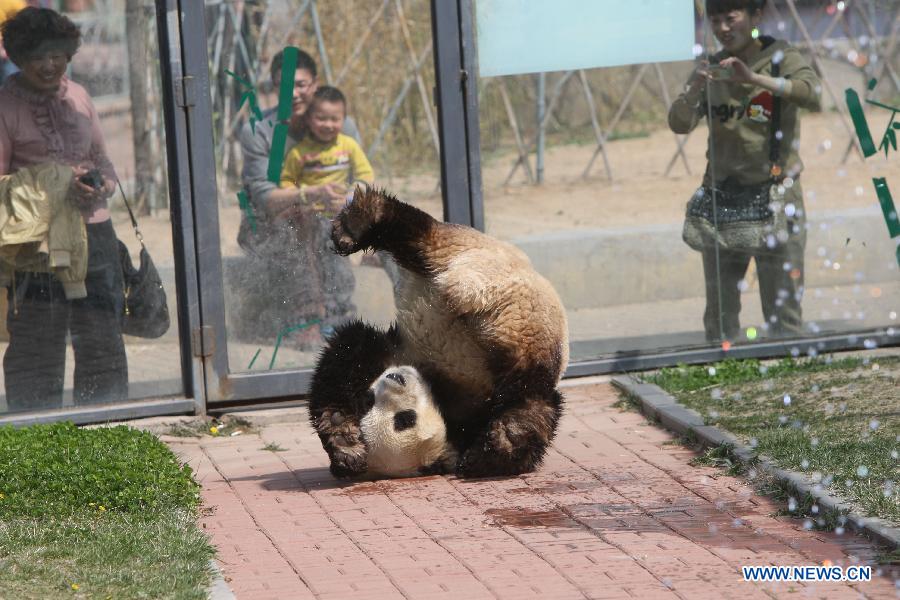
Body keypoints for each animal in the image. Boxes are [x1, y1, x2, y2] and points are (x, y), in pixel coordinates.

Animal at [306, 188, 568, 478]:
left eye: (404, 419)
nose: (396, 377)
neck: (438, 389)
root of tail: (471, 289)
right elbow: (344, 360)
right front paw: (346, 442)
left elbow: (344, 354)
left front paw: (344, 441)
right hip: (523, 334)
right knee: (533, 397)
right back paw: (506, 438)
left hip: (461, 252)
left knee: (416, 233)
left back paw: (354, 225)